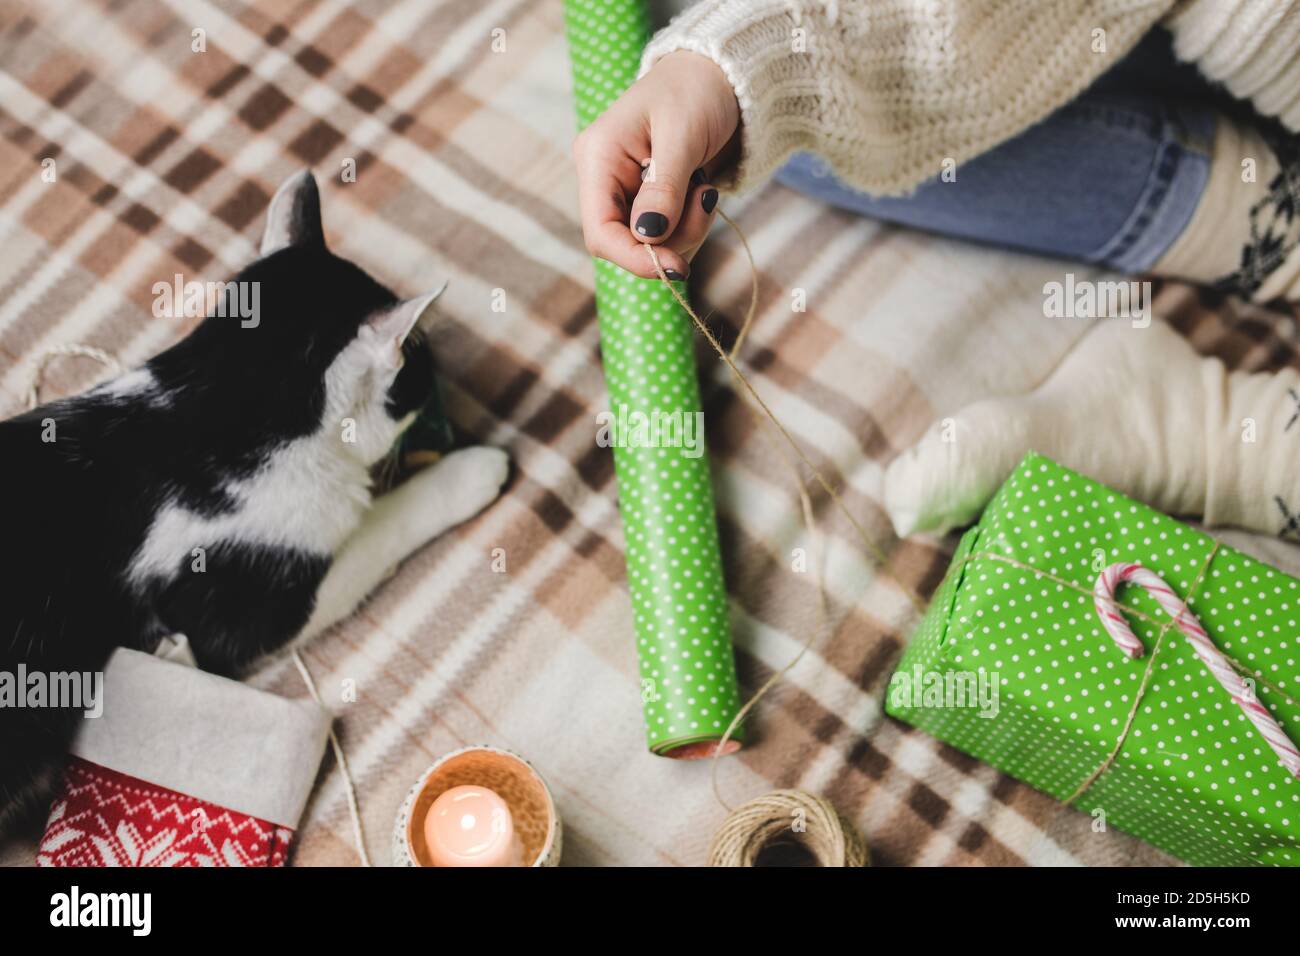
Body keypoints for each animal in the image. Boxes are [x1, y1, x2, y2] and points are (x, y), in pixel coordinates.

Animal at [0, 170, 506, 832]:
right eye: (417, 368)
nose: (432, 379)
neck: (219, 401)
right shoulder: (244, 609)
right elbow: (380, 527)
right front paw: (471, 471)